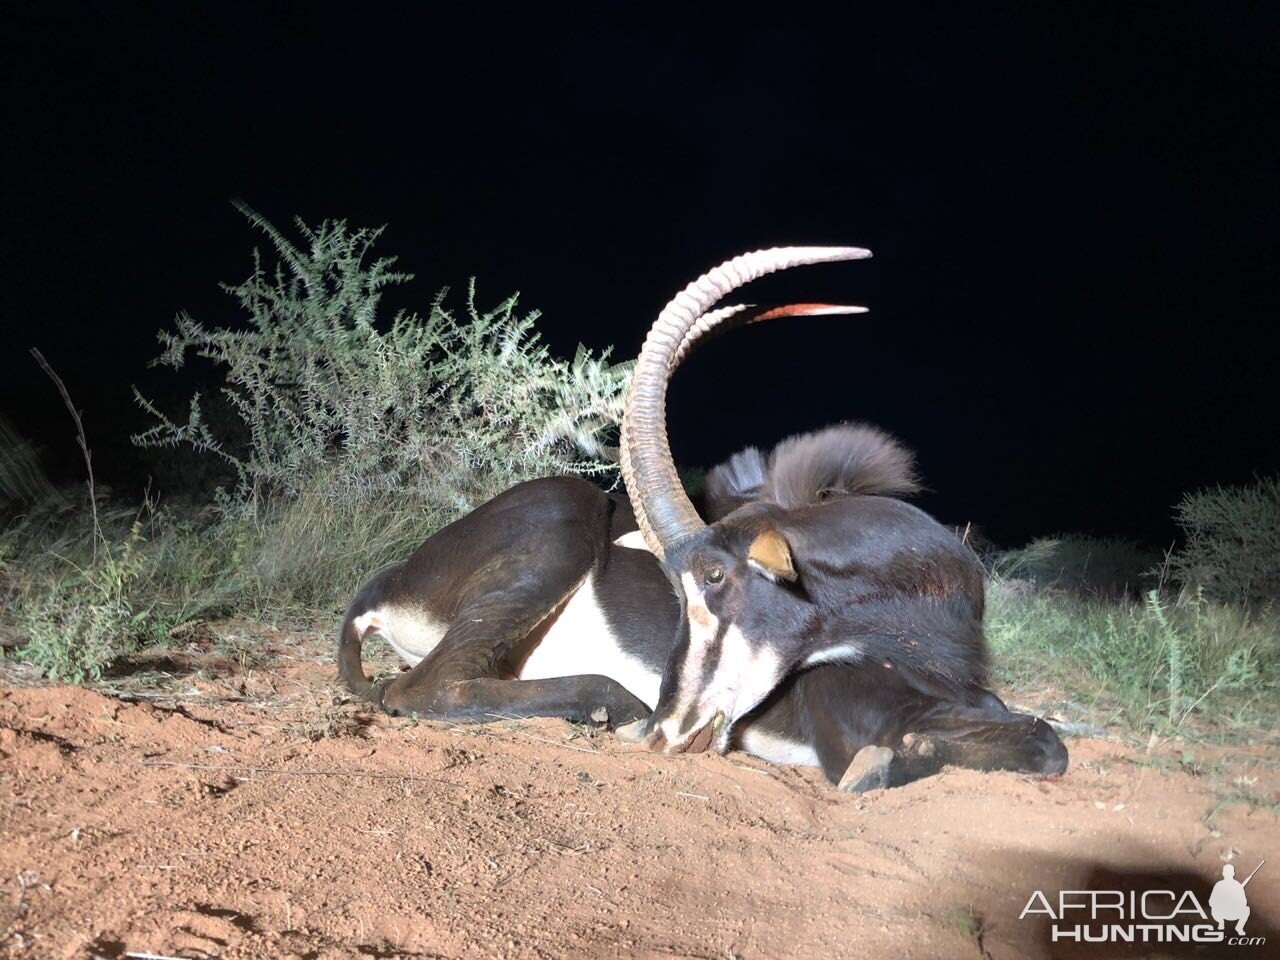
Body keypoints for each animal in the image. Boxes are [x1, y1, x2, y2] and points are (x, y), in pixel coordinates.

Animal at [343, 248, 1070, 788]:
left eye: (714, 579)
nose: (671, 731)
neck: (926, 610)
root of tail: (389, 581)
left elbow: (1036, 733)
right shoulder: (848, 724)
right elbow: (1017, 743)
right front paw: (883, 767)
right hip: (562, 522)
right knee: (425, 688)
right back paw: (612, 705)